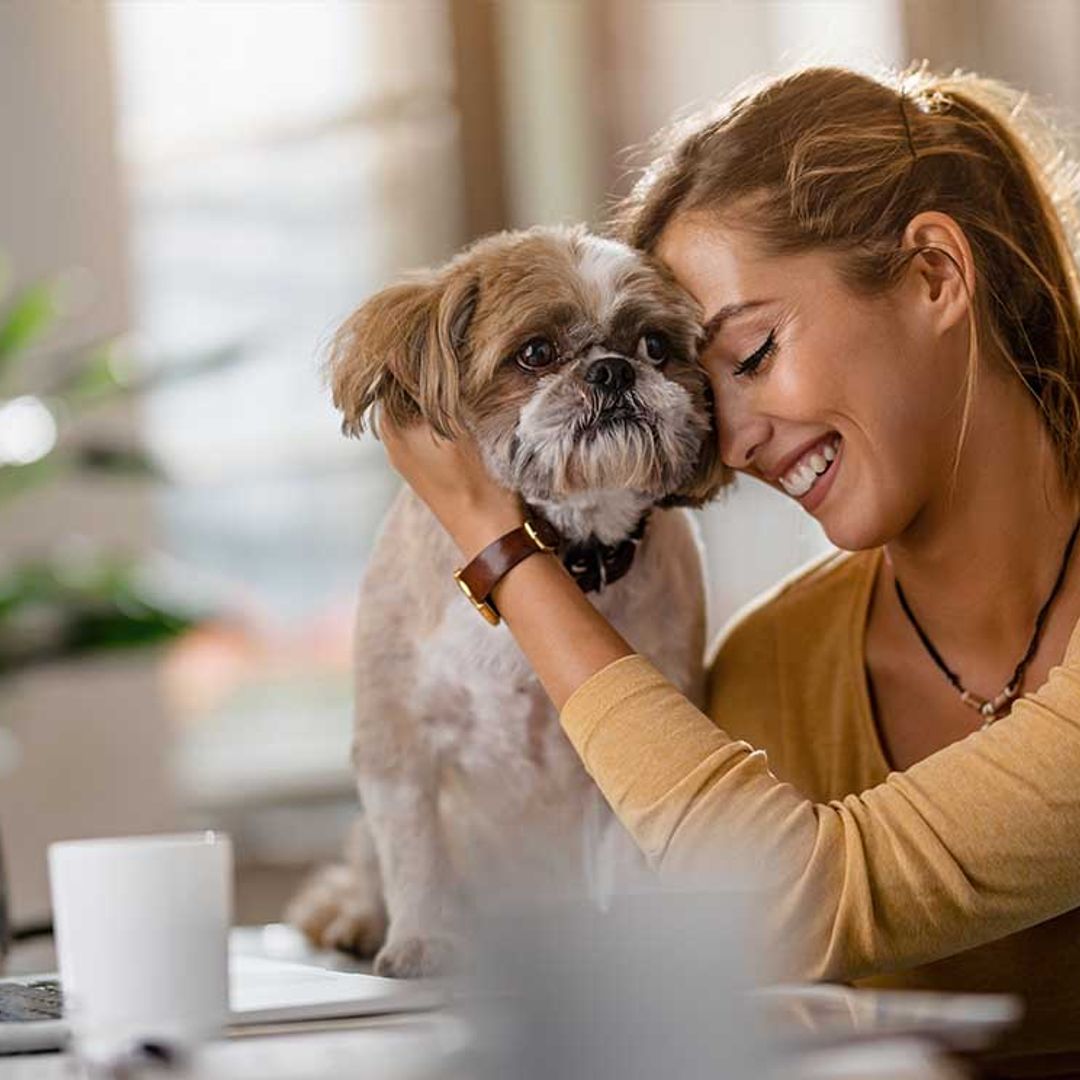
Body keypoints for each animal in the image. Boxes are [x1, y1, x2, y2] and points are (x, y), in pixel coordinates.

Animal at [285, 225, 725, 980]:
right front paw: (422, 941)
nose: (613, 370)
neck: (562, 552)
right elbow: (415, 854)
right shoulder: (397, 743)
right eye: (536, 353)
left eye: (655, 346)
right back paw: (359, 922)